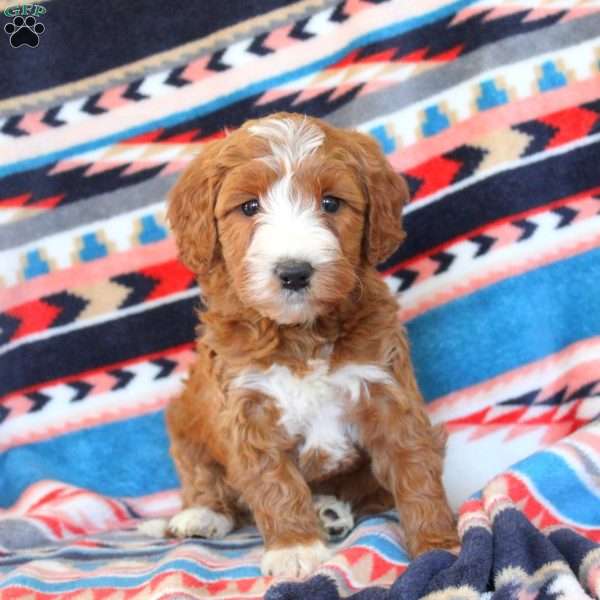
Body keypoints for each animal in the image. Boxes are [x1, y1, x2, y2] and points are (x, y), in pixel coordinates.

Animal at [162, 111, 458, 576]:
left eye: (331, 203)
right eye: (249, 206)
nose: (294, 272)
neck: (301, 334)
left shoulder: (387, 387)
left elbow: (415, 468)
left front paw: (437, 545)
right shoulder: (246, 405)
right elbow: (273, 481)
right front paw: (295, 548)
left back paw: (329, 510)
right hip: (185, 417)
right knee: (203, 474)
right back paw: (203, 513)